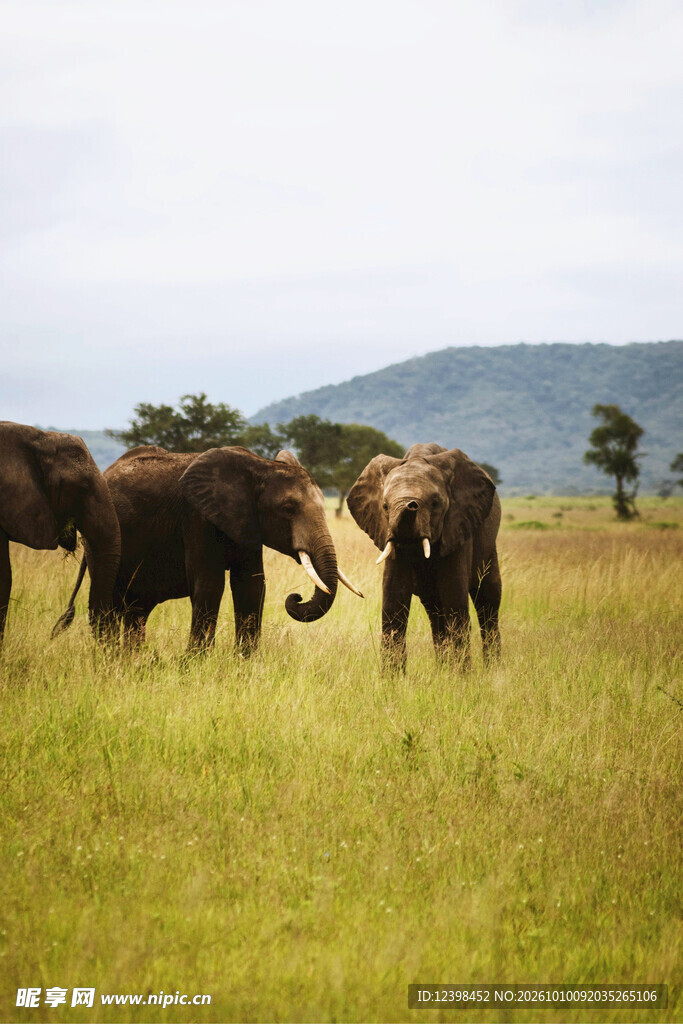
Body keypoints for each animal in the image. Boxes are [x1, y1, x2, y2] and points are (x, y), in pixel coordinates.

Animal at [54, 444, 362, 651]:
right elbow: (210, 584)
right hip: (98, 534)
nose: (295, 597)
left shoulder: (245, 522)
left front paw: (245, 664)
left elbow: (251, 585)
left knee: (134, 609)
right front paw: (192, 665)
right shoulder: (197, 517)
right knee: (111, 600)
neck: (260, 467)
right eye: (288, 508)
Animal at [347, 443, 501, 670]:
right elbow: (393, 600)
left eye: (436, 503)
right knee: (435, 612)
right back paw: (442, 669)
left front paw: (463, 676)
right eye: (385, 506)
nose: (411, 504)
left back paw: (492, 669)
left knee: (488, 601)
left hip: (488, 547)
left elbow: (454, 598)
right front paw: (392, 678)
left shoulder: (457, 527)